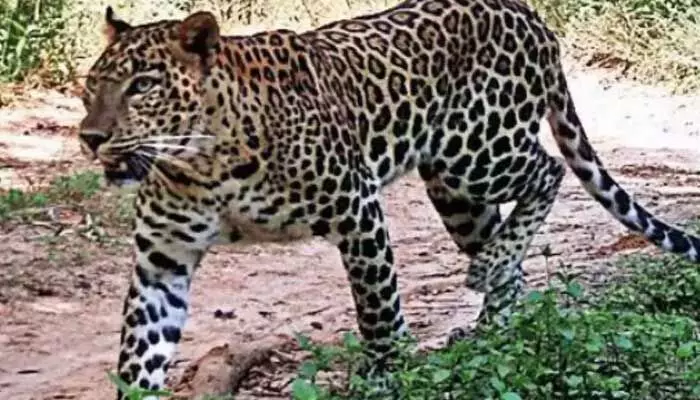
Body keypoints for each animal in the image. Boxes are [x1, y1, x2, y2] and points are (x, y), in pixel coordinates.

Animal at [78, 1, 700, 397]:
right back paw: (492, 328)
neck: (201, 164)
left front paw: (387, 372)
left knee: (545, 171)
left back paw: (489, 270)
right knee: (510, 255)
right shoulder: (163, 258)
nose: (90, 137)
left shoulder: (356, 210)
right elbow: (139, 352)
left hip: (474, 151)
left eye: (143, 86)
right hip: (454, 191)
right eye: (90, 88)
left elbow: (376, 307)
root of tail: (530, 14)